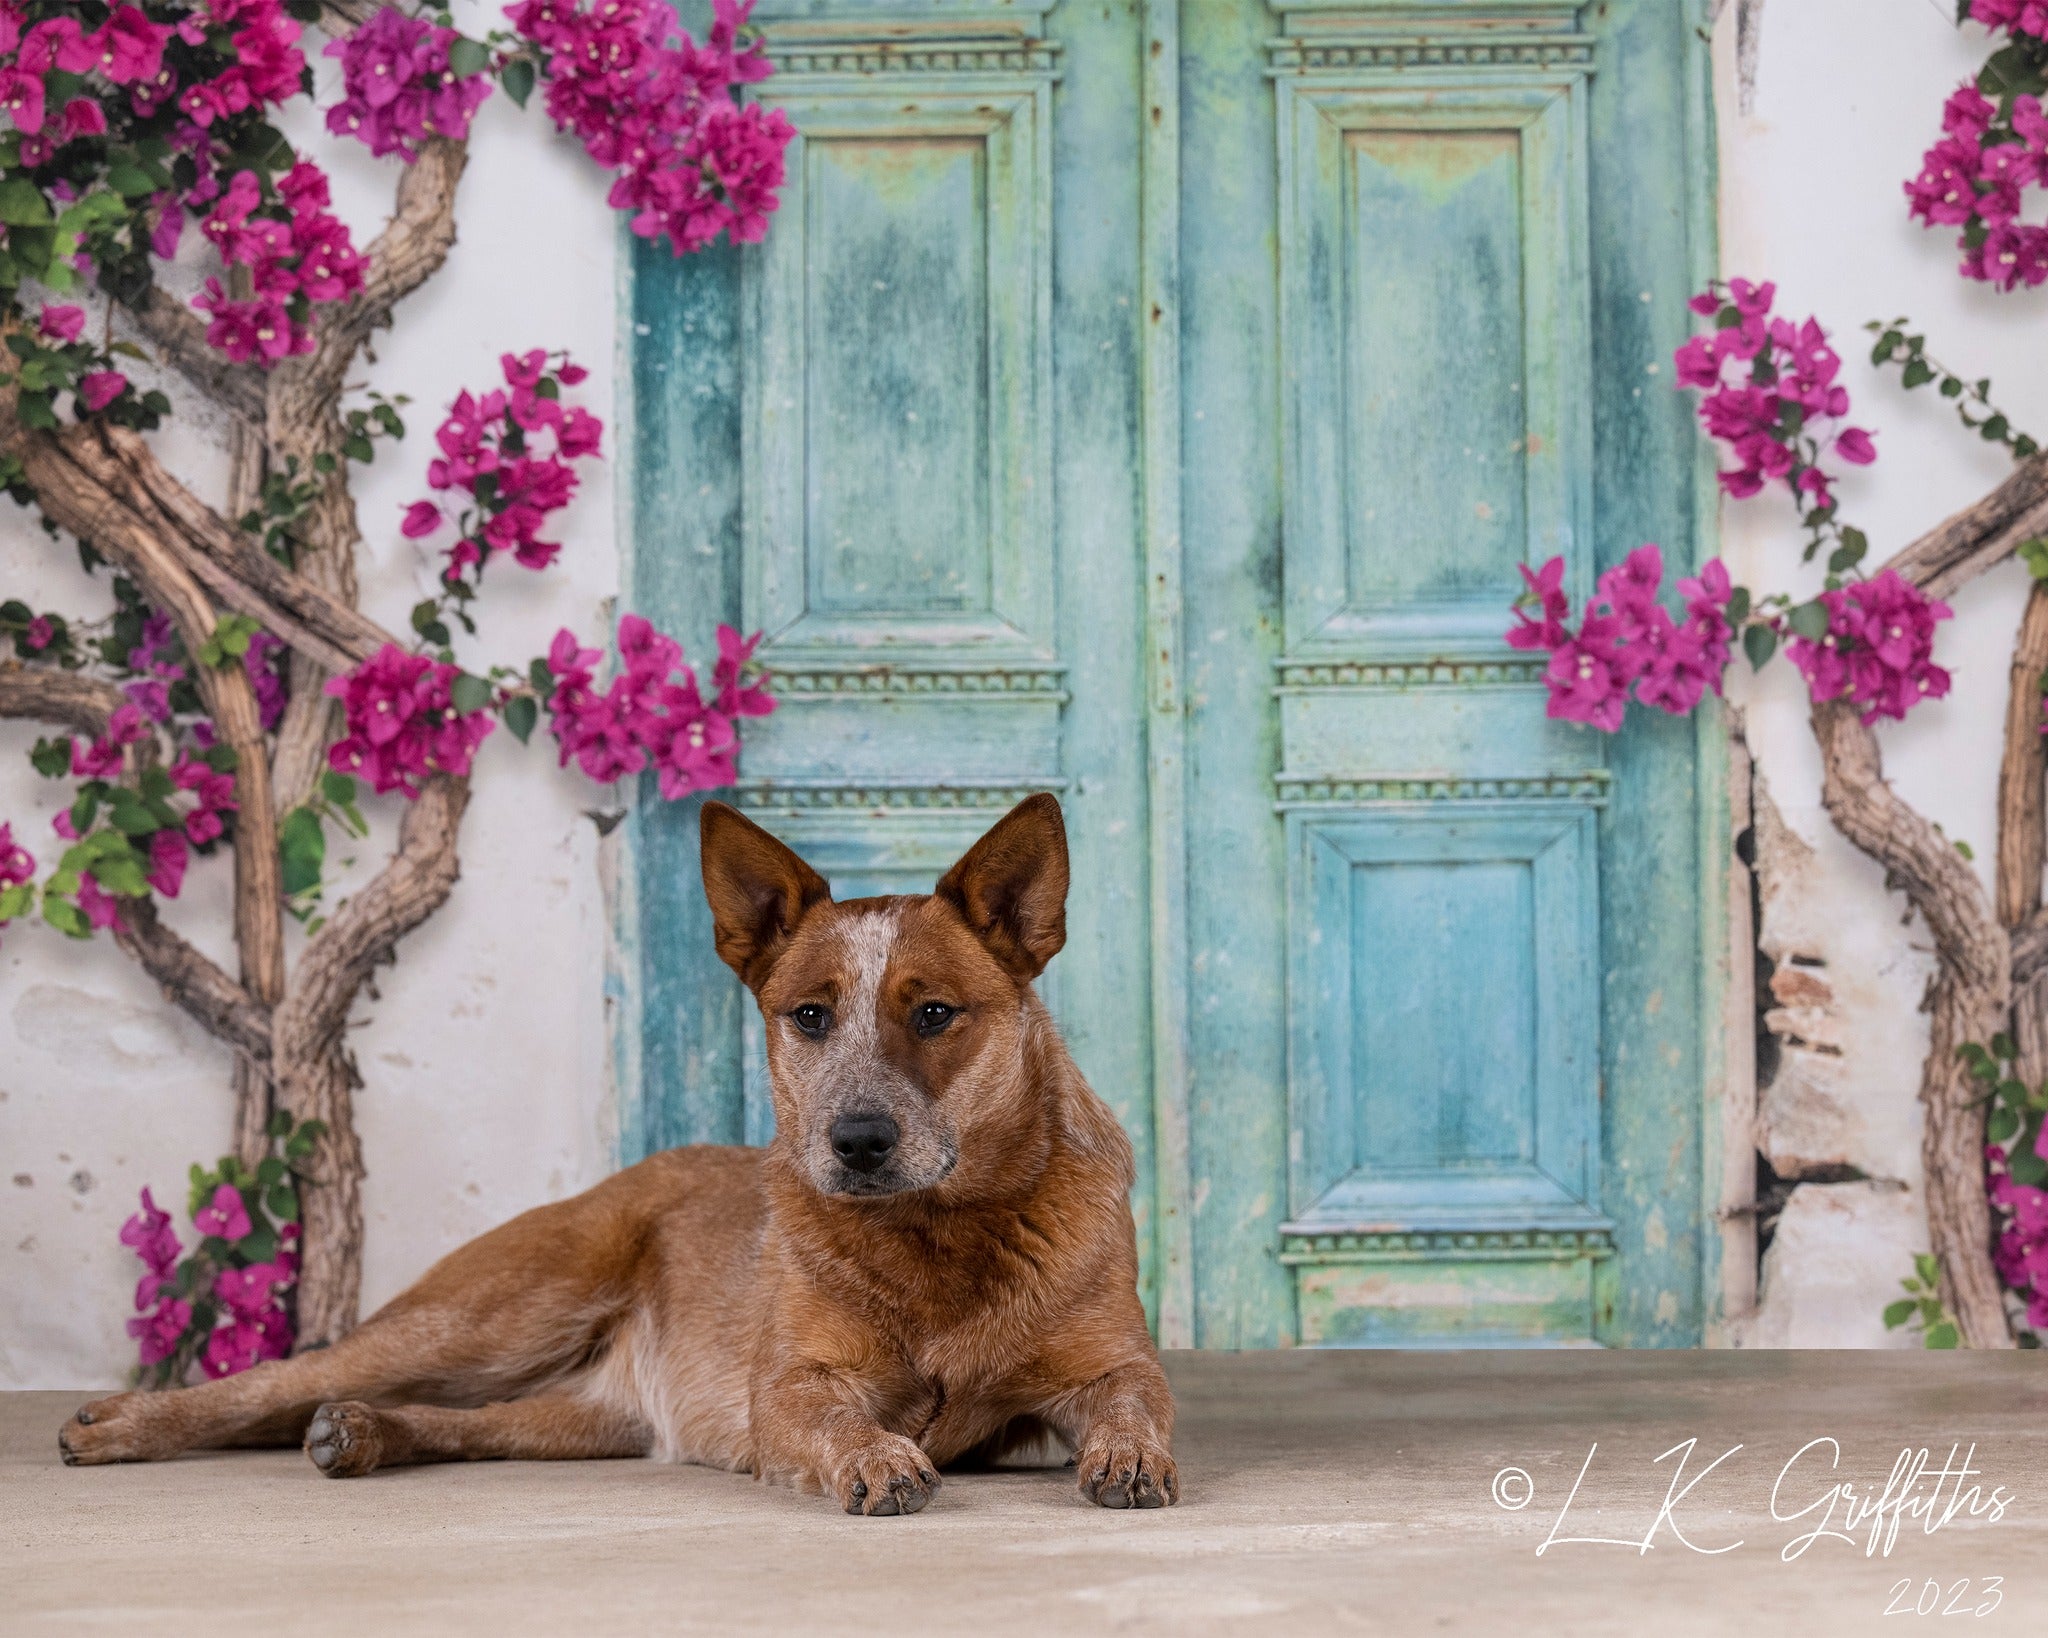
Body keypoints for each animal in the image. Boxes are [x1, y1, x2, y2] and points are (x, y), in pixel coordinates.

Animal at [56, 794, 1179, 1506]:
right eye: (811, 1015)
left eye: (935, 1012)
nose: (856, 1141)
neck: (941, 1237)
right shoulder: (792, 1388)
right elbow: (834, 1420)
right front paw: (878, 1458)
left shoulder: (1108, 1362)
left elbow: (1136, 1400)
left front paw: (1129, 1457)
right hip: (498, 1312)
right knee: (277, 1380)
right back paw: (119, 1423)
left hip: (582, 1412)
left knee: (457, 1418)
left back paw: (362, 1432)